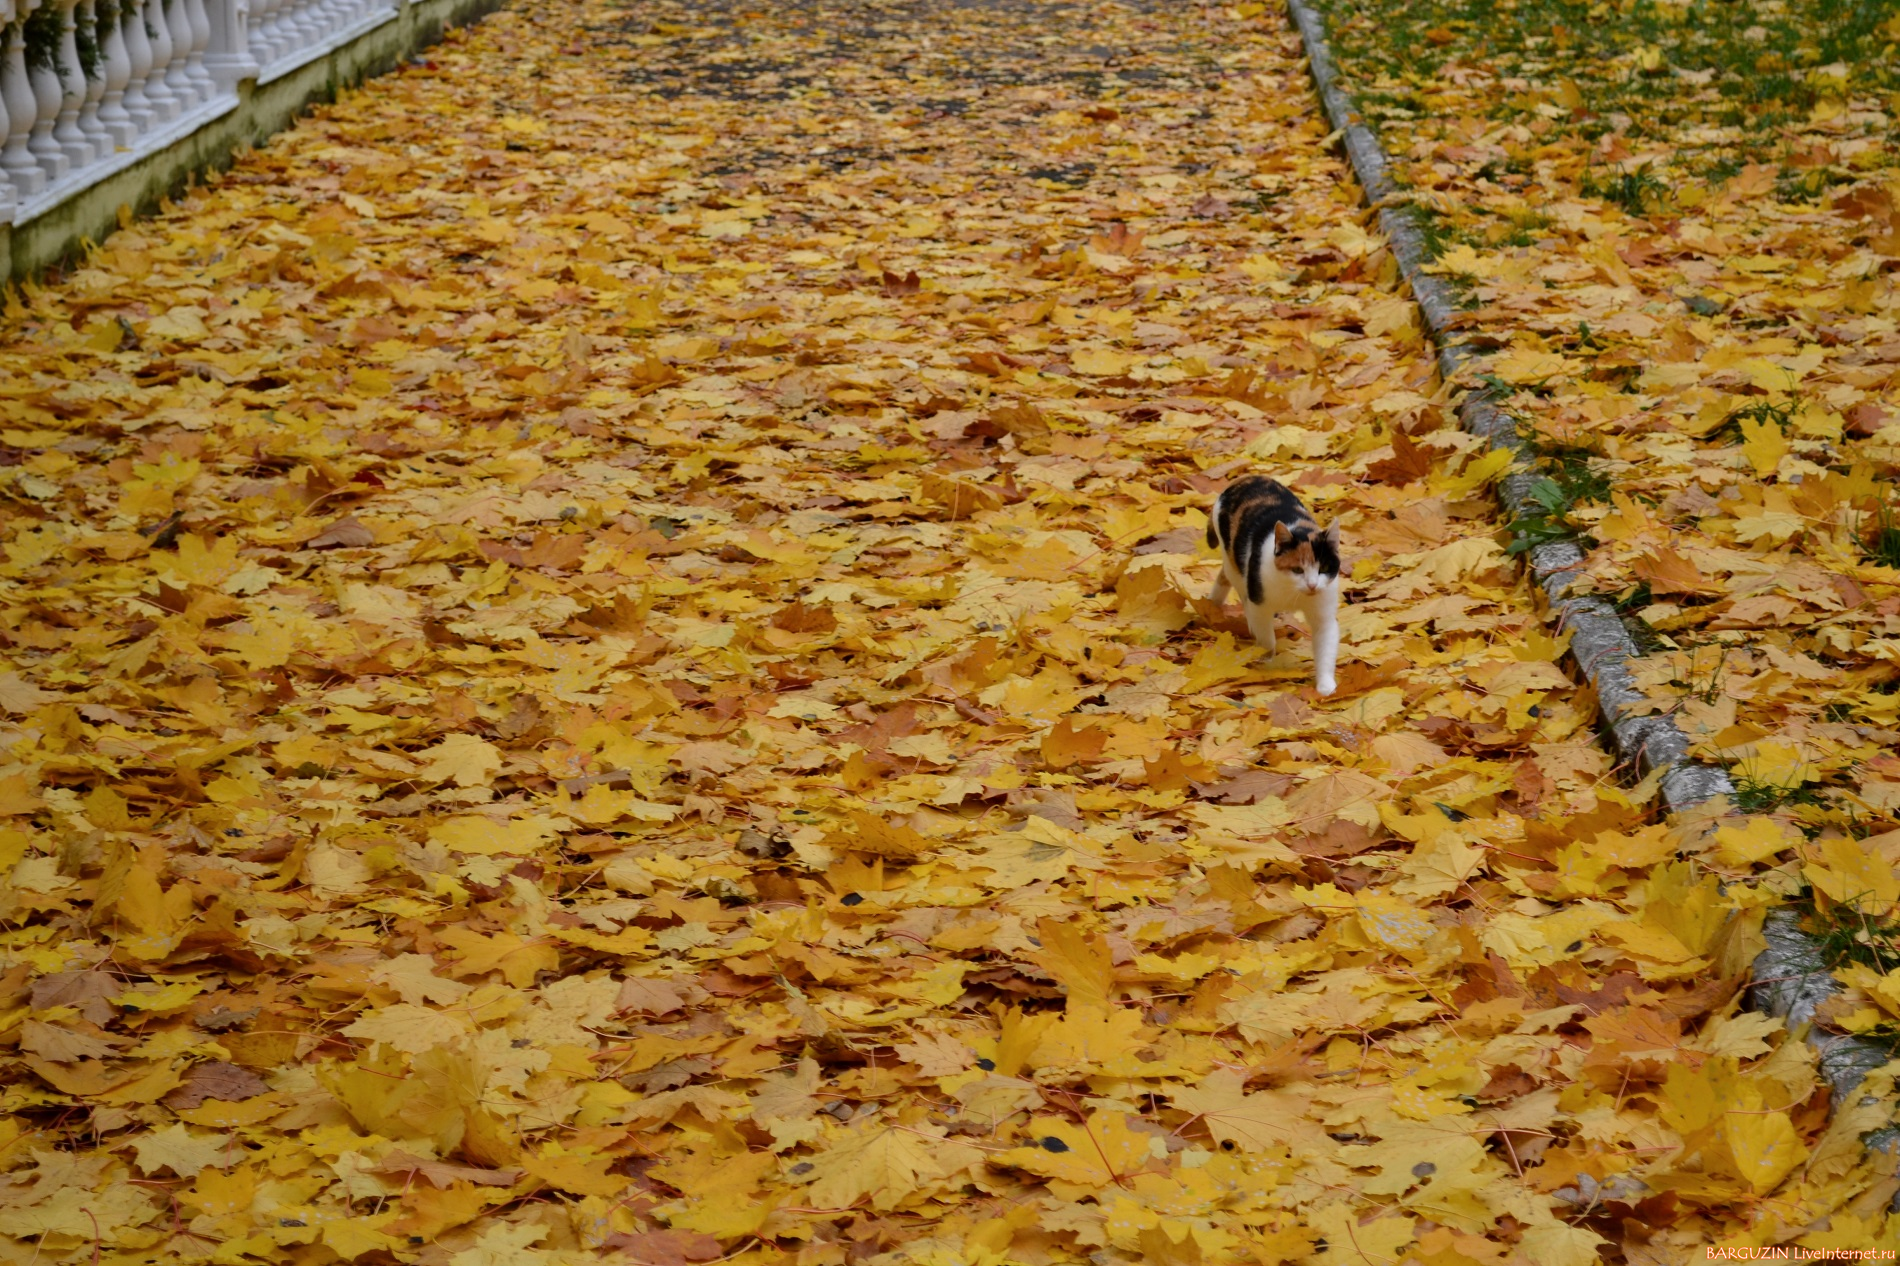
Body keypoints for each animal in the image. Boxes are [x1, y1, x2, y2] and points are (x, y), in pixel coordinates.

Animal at [1208, 473, 1345, 695]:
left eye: (1323, 567)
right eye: (1297, 570)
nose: (1312, 585)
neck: (1293, 593)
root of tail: (1244, 478)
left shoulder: (1324, 611)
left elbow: (1326, 645)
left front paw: (1326, 687)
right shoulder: (1259, 603)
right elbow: (1266, 639)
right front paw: (1266, 664)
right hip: (1233, 561)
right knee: (1232, 579)